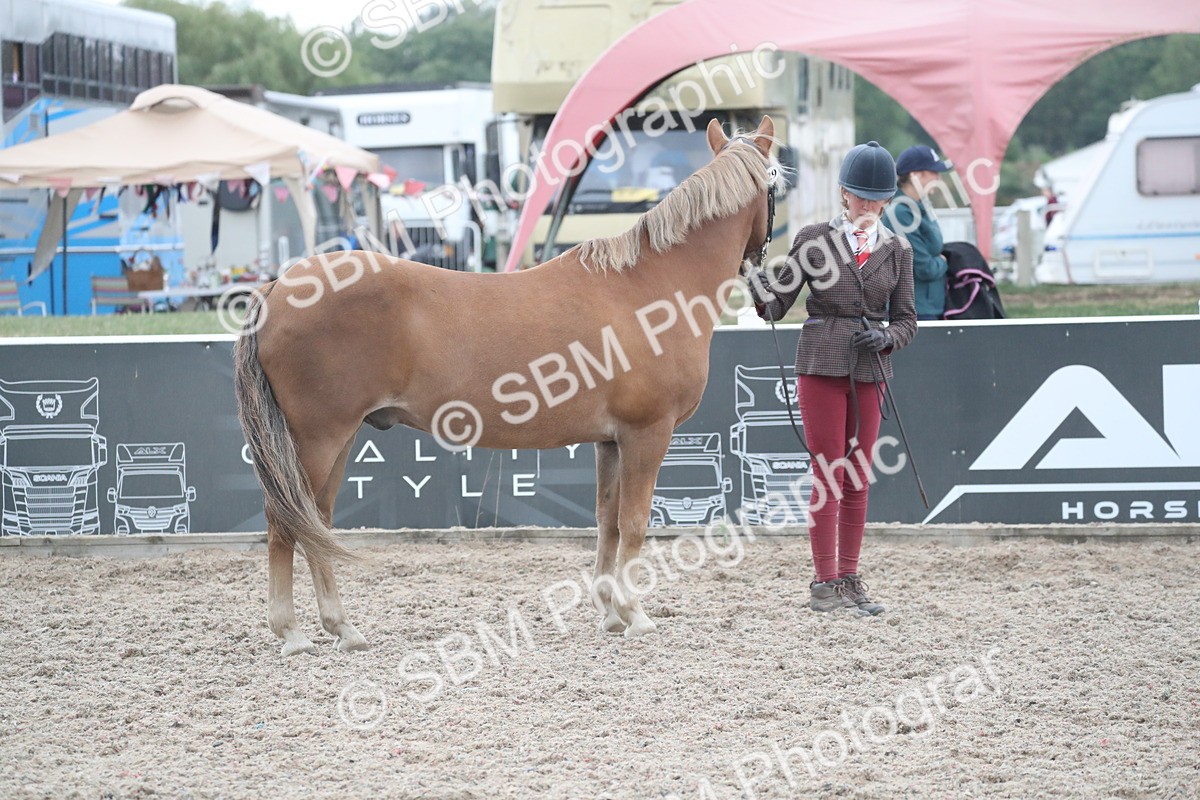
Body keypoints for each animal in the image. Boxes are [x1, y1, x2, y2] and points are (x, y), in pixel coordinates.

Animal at [234, 116, 778, 655]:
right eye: (775, 182)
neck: (649, 288)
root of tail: (278, 288)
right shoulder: (648, 433)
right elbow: (636, 523)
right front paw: (635, 614)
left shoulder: (611, 441)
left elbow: (607, 521)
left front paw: (609, 612)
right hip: (317, 439)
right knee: (284, 522)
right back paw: (292, 633)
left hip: (338, 438)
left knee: (315, 520)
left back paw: (342, 627)